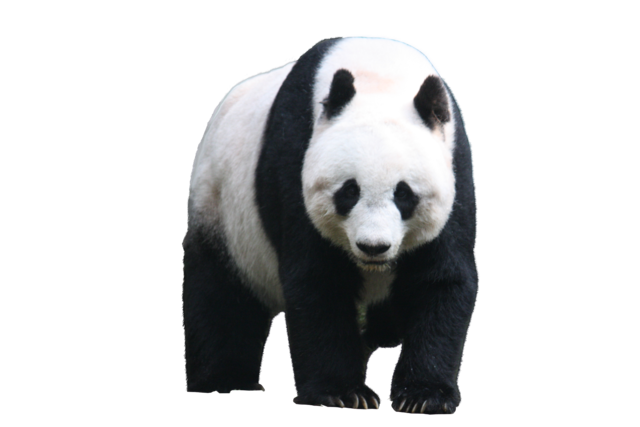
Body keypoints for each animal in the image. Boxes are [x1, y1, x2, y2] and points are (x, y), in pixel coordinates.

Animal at [182, 35, 480, 415]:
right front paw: (342, 393)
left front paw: (423, 395)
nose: (373, 247)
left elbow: (440, 279)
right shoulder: (294, 158)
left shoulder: (455, 168)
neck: (379, 74)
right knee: (220, 294)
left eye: (404, 194)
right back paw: (225, 379)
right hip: (221, 208)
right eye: (349, 191)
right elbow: (319, 280)